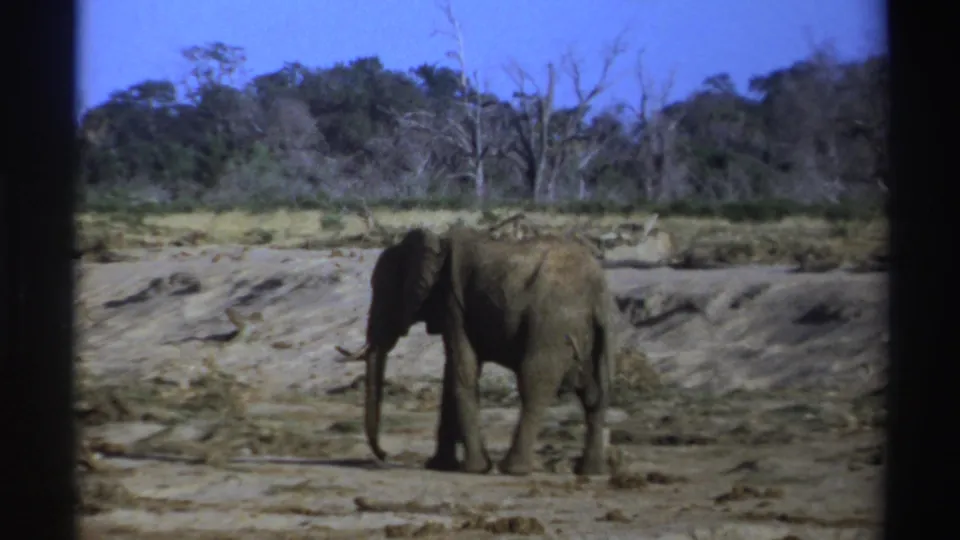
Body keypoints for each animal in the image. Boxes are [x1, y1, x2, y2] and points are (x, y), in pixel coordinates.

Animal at [346, 226, 616, 476]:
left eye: (382, 292)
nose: (384, 455)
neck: (437, 243)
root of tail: (598, 292)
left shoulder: (453, 304)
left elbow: (462, 371)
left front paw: (476, 468)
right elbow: (452, 375)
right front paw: (440, 465)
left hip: (552, 324)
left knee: (534, 384)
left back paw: (513, 468)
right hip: (592, 333)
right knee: (593, 391)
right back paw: (591, 471)